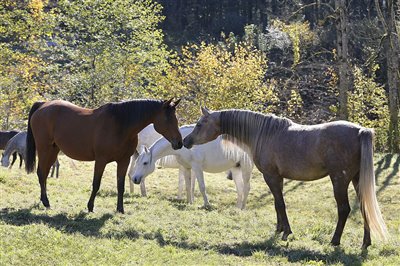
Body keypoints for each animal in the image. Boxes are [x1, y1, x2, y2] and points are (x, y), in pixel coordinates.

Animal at [25, 98, 181, 213]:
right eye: (168, 119)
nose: (179, 142)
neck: (121, 125)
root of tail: (42, 105)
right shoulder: (101, 160)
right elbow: (96, 184)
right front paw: (90, 207)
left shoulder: (123, 161)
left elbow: (120, 185)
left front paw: (120, 209)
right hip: (44, 149)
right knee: (41, 173)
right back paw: (46, 202)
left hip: (53, 150)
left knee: (44, 174)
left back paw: (44, 201)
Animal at [184, 107, 388, 248]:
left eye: (199, 124)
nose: (186, 141)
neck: (264, 133)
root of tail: (360, 131)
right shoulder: (278, 178)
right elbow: (277, 203)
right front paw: (279, 228)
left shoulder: (271, 176)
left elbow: (280, 204)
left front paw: (285, 232)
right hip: (357, 180)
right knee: (365, 207)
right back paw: (365, 243)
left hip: (340, 180)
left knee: (344, 209)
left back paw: (335, 241)